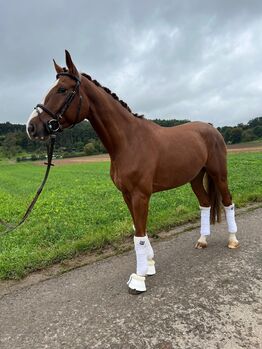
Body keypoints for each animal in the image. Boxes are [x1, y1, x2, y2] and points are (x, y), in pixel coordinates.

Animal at [27, 50, 239, 292]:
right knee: (205, 204)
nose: (31, 127)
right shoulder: (127, 195)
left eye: (62, 89)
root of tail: (212, 128)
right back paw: (202, 241)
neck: (128, 141)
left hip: (219, 174)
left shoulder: (140, 195)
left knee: (228, 202)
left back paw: (233, 240)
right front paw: (149, 265)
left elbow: (139, 234)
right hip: (195, 177)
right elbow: (139, 230)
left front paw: (139, 278)